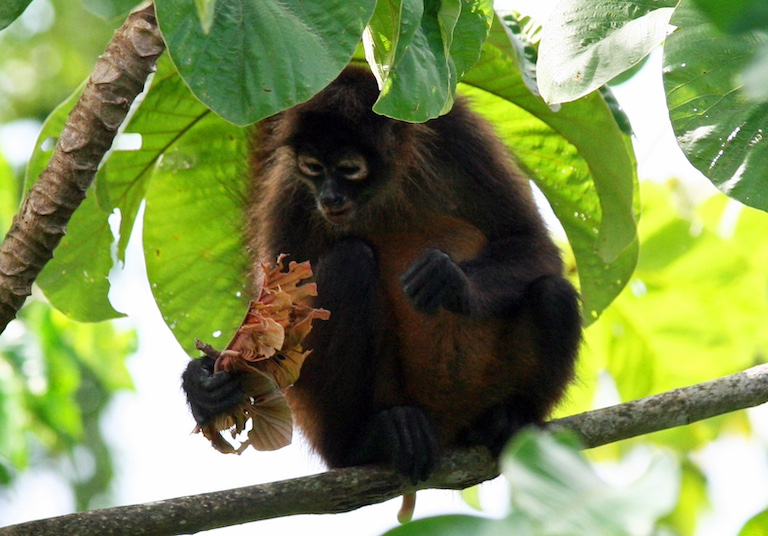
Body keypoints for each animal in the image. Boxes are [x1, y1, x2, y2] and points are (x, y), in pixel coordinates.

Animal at [181, 66, 581, 483]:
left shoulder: (458, 134)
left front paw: (450, 280)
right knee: (349, 261)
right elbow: (278, 316)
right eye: (313, 168)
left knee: (553, 292)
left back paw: (508, 420)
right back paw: (365, 442)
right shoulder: (292, 187)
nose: (329, 198)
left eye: (349, 169)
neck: (382, 192)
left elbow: (533, 244)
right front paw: (203, 384)